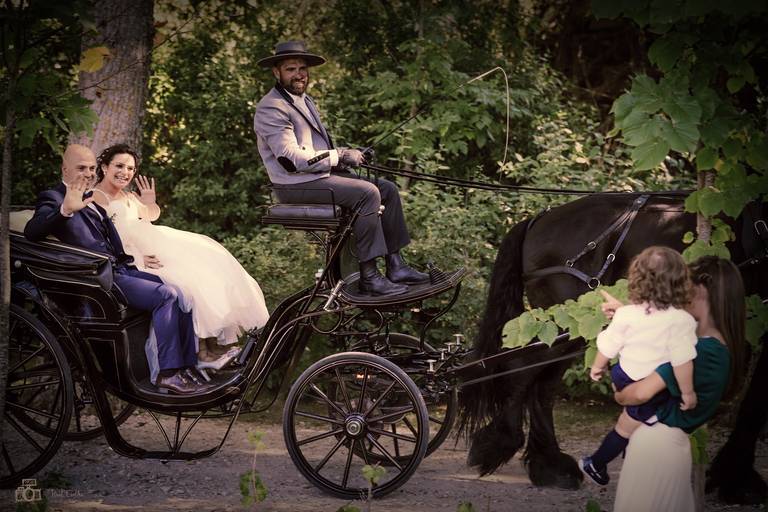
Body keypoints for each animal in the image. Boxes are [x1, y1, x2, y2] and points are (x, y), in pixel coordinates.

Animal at [457, 191, 768, 503]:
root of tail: (541, 217)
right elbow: (754, 400)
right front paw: (737, 478)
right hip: (563, 318)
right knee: (521, 368)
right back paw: (495, 446)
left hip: (570, 327)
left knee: (543, 385)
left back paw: (550, 467)